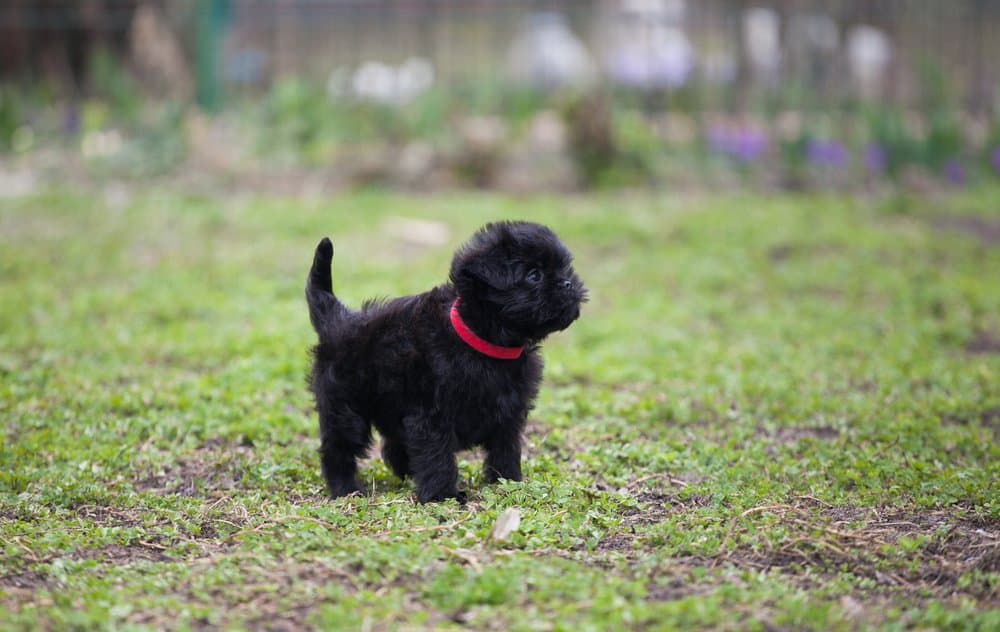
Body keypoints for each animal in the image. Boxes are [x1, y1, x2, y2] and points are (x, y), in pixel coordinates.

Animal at [306, 222, 584, 504]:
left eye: (564, 268)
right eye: (534, 275)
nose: (568, 283)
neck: (483, 342)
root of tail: (337, 318)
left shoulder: (509, 412)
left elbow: (505, 448)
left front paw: (508, 481)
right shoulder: (432, 415)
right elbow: (436, 456)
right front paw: (442, 496)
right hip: (344, 408)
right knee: (338, 448)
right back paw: (345, 488)